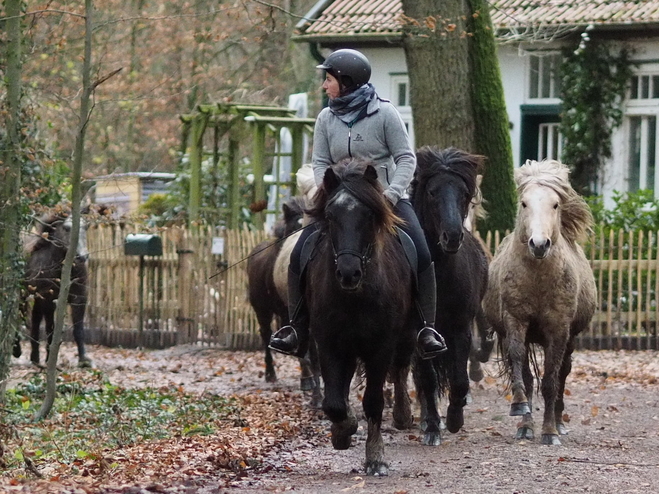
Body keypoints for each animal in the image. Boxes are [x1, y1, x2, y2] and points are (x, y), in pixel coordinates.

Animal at [15, 208, 91, 366]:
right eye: (66, 228)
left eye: (86, 227)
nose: (82, 256)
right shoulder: (49, 300)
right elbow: (51, 328)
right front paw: (50, 357)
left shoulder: (79, 298)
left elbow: (78, 329)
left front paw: (84, 360)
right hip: (24, 295)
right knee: (20, 317)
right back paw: (18, 351)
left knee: (35, 321)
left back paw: (35, 357)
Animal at [306, 158, 418, 474]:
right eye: (330, 215)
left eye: (369, 215)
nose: (348, 273)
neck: (355, 296)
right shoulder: (328, 342)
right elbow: (333, 402)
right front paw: (343, 430)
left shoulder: (380, 346)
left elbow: (374, 401)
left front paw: (376, 457)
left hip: (407, 335)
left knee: (401, 368)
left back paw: (403, 414)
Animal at [484, 160, 600, 446]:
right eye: (524, 203)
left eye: (555, 204)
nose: (539, 244)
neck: (537, 278)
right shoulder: (516, 321)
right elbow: (521, 369)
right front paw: (522, 417)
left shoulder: (558, 329)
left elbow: (550, 380)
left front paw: (549, 432)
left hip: (570, 339)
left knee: (563, 373)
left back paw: (559, 423)